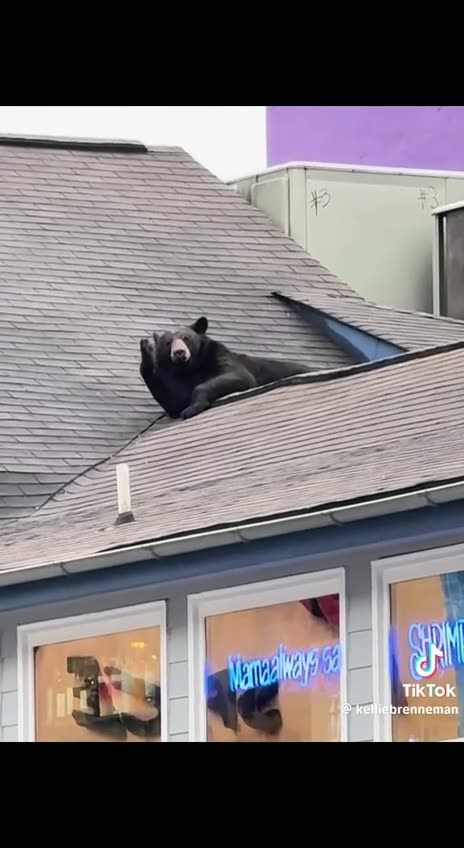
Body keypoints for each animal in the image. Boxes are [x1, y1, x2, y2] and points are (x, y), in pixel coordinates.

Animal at [139, 315, 311, 421]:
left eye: (185, 338)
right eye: (168, 342)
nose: (179, 352)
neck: (190, 367)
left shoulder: (219, 358)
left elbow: (241, 377)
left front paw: (193, 408)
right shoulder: (177, 378)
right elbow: (175, 400)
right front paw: (146, 352)